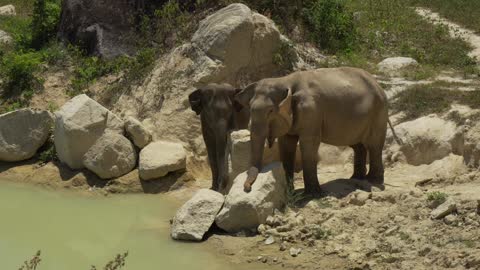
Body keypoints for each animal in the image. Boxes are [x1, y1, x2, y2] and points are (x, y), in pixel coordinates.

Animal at [234, 66, 396, 195]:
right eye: (250, 108)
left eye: (270, 111)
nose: (247, 189)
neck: (285, 80)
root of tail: (378, 84)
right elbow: (286, 144)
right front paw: (290, 192)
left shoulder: (311, 111)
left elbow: (309, 143)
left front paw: (312, 195)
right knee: (358, 145)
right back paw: (356, 178)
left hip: (378, 112)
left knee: (374, 145)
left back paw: (373, 180)